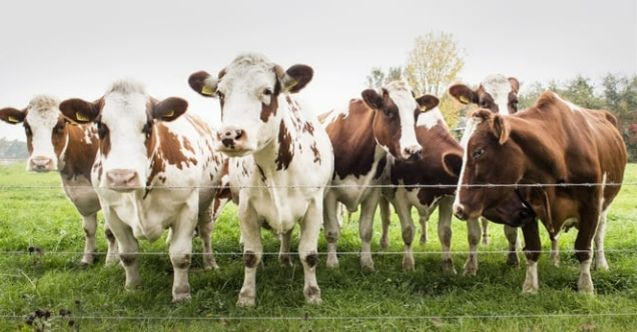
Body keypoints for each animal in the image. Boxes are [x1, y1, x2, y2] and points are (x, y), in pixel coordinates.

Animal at [0, 95, 118, 264]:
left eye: (61, 125)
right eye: (26, 126)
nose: (40, 162)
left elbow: (110, 231)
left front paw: (111, 261)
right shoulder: (81, 197)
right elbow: (88, 230)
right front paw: (87, 259)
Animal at [57, 80, 225, 300]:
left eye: (149, 124)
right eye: (100, 126)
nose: (122, 177)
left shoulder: (187, 206)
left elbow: (180, 255)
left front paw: (181, 293)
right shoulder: (111, 211)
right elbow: (128, 253)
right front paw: (132, 287)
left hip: (207, 201)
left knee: (205, 232)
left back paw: (210, 263)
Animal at [188, 52, 332, 306]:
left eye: (267, 91)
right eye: (221, 94)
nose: (229, 135)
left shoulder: (314, 205)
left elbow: (309, 254)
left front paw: (313, 293)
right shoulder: (246, 206)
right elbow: (251, 254)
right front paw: (247, 295)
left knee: (286, 234)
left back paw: (285, 260)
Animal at [320, 81, 440, 272]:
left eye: (416, 114)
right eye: (388, 112)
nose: (414, 151)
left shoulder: (373, 192)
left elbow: (366, 230)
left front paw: (367, 262)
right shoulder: (330, 194)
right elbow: (332, 231)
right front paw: (332, 263)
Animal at [452, 91, 628, 294]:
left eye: (479, 151)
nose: (458, 208)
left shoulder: (591, 206)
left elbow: (584, 247)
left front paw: (585, 287)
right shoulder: (528, 207)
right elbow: (532, 248)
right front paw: (530, 287)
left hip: (605, 206)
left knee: (598, 235)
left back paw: (600, 264)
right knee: (556, 237)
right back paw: (554, 260)